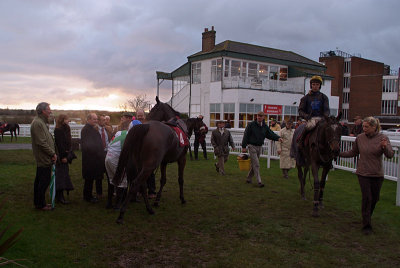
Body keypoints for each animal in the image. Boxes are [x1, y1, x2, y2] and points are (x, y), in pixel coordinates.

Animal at [112, 96, 202, 224]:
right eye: (201, 124)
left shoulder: (164, 162)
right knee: (135, 183)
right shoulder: (182, 159)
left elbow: (163, 180)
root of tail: (146, 126)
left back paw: (149, 209)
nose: (204, 131)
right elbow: (180, 179)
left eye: (153, 109)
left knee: (142, 185)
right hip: (149, 166)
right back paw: (122, 214)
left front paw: (157, 200)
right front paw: (182, 198)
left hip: (141, 165)